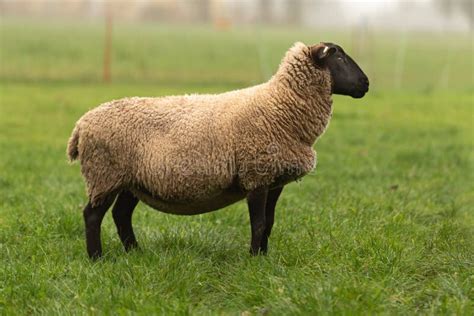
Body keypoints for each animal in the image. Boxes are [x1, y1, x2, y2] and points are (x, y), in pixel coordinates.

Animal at [67, 41, 370, 260]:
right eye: (339, 58)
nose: (366, 84)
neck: (279, 106)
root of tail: (81, 125)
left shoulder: (275, 179)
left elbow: (270, 222)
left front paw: (264, 257)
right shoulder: (256, 174)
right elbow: (259, 223)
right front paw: (254, 259)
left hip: (131, 181)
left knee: (121, 215)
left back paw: (135, 252)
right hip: (105, 174)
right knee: (92, 215)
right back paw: (97, 258)